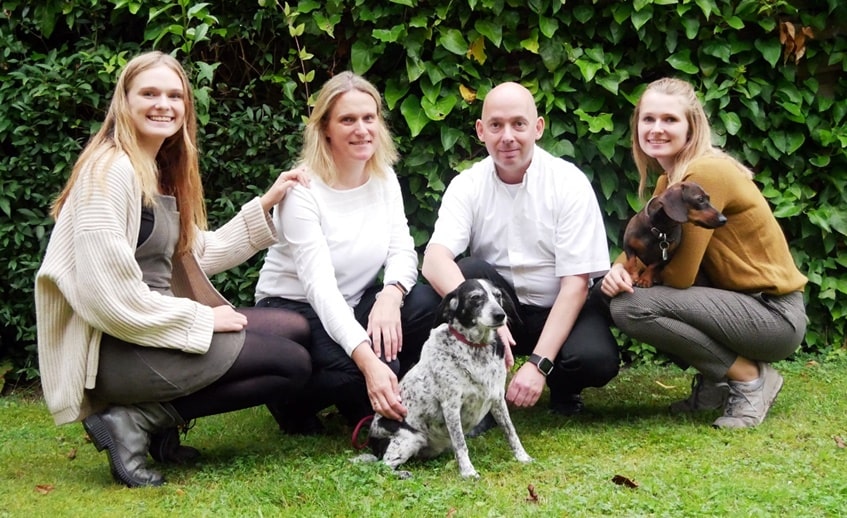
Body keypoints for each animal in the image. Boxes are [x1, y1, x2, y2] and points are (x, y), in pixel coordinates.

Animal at [358, 280, 528, 480]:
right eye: (475, 298)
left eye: (498, 295)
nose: (500, 315)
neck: (476, 349)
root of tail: (372, 444)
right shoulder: (451, 406)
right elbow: (461, 444)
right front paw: (468, 472)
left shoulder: (498, 399)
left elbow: (511, 432)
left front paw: (523, 457)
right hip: (410, 438)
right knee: (383, 467)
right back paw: (403, 473)